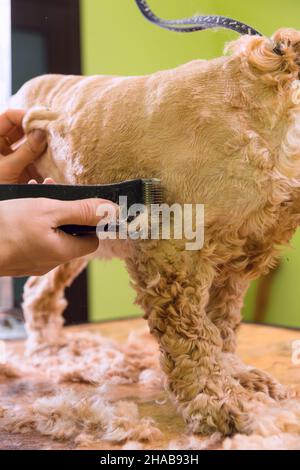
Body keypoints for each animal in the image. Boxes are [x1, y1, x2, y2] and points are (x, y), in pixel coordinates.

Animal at [11, 25, 300, 436]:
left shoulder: (238, 256)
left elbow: (223, 327)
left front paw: (240, 378)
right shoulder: (173, 252)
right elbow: (193, 339)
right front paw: (215, 403)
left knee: (39, 291)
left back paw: (52, 351)